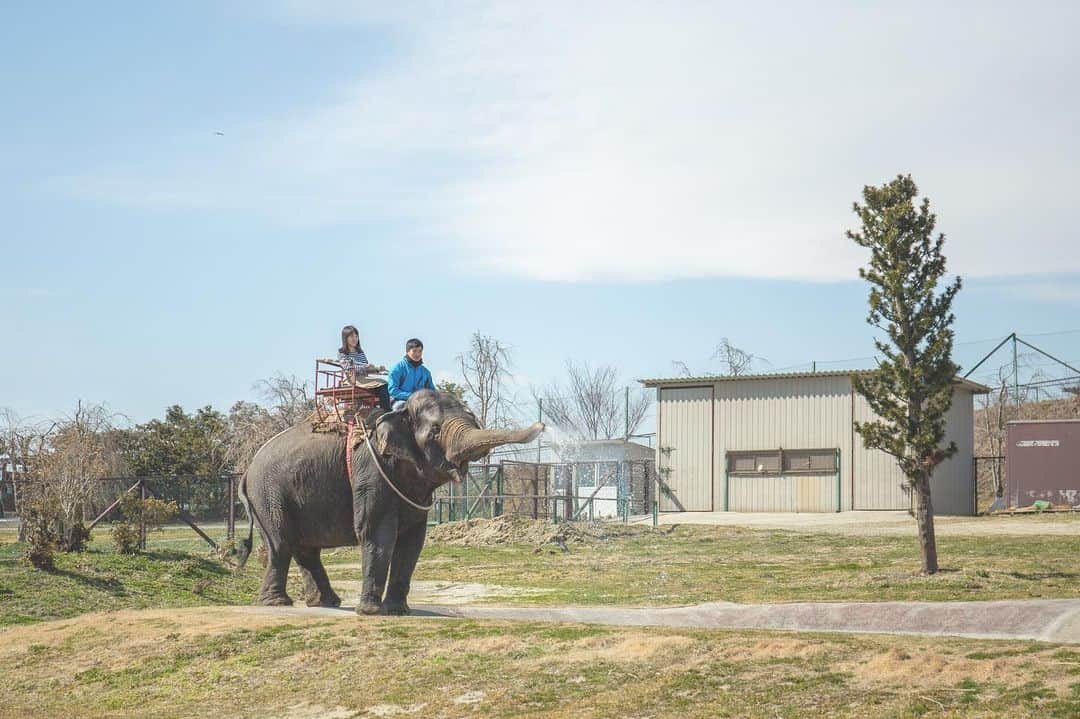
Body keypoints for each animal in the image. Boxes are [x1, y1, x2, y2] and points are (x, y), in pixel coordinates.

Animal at [233, 388, 544, 613]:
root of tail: (246, 470)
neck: (399, 414)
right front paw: (371, 612)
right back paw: (278, 603)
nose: (543, 424)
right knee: (281, 545)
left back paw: (324, 602)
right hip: (269, 495)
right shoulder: (372, 470)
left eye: (474, 420)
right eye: (435, 431)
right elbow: (376, 532)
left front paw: (396, 610)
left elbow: (413, 541)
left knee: (304, 549)